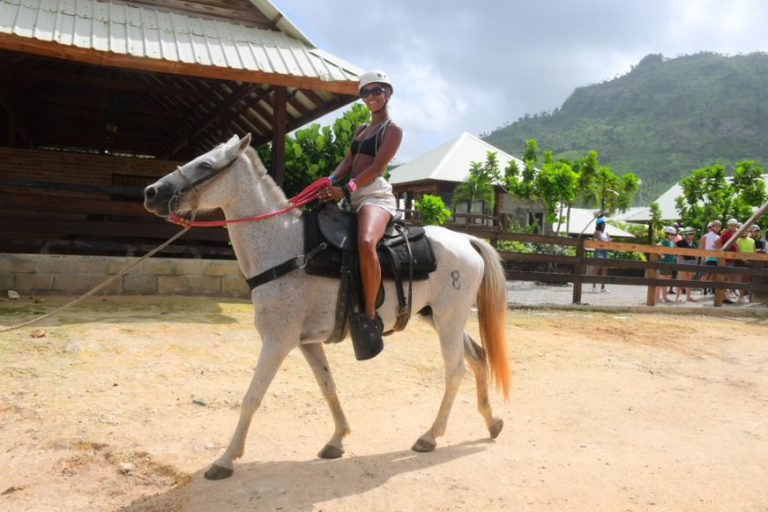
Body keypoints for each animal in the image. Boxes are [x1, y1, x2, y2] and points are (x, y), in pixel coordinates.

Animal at [143, 133, 511, 480]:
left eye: (205, 164)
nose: (151, 192)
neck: (287, 249)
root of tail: (466, 240)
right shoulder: (307, 343)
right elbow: (327, 386)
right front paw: (337, 439)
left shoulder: (277, 342)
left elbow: (251, 398)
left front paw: (225, 459)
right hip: (439, 318)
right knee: (478, 357)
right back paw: (492, 422)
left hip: (449, 321)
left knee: (455, 371)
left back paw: (430, 436)